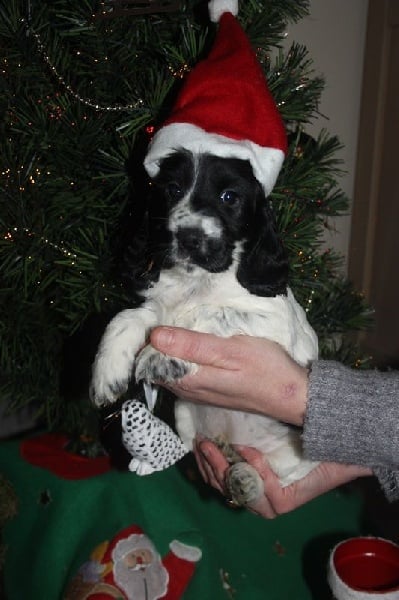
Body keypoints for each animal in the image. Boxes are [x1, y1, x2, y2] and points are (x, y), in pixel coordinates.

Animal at [91, 150, 318, 506]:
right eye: (172, 189)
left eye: (230, 197)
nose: (188, 237)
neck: (198, 282)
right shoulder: (157, 304)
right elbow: (126, 318)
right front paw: (107, 373)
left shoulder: (277, 323)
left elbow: (210, 314)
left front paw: (159, 356)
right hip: (184, 413)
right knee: (188, 447)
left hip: (296, 453)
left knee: (276, 476)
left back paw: (245, 480)